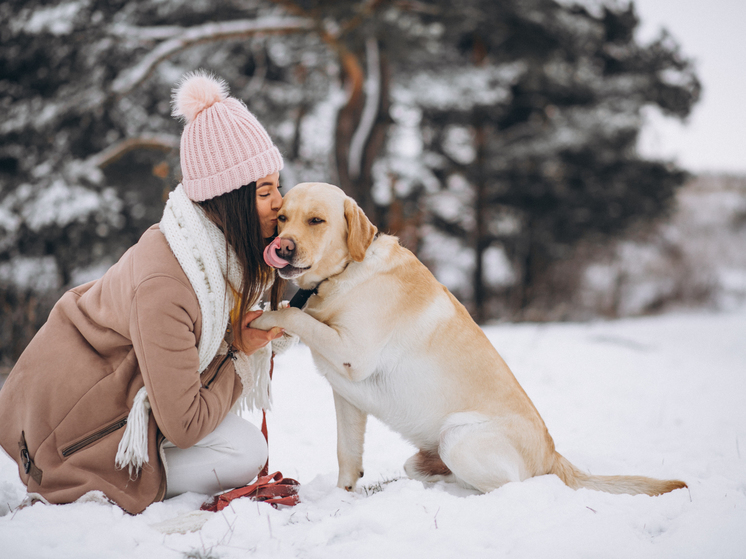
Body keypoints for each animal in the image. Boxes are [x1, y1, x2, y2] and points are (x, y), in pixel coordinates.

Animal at [254, 182, 684, 496]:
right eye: (282, 218)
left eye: (316, 220)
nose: (281, 247)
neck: (341, 275)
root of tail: (553, 456)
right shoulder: (346, 396)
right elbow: (347, 453)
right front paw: (340, 498)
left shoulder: (353, 354)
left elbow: (293, 314)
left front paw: (261, 319)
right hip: (430, 452)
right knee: (425, 470)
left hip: (458, 438)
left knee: (512, 488)